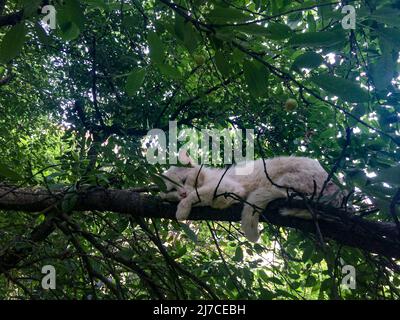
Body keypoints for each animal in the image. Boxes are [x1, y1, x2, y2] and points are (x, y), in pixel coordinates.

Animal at [161, 151, 346, 241]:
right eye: (172, 190)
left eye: (184, 180)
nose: (182, 193)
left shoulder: (228, 188)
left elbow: (196, 195)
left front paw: (182, 210)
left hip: (285, 181)